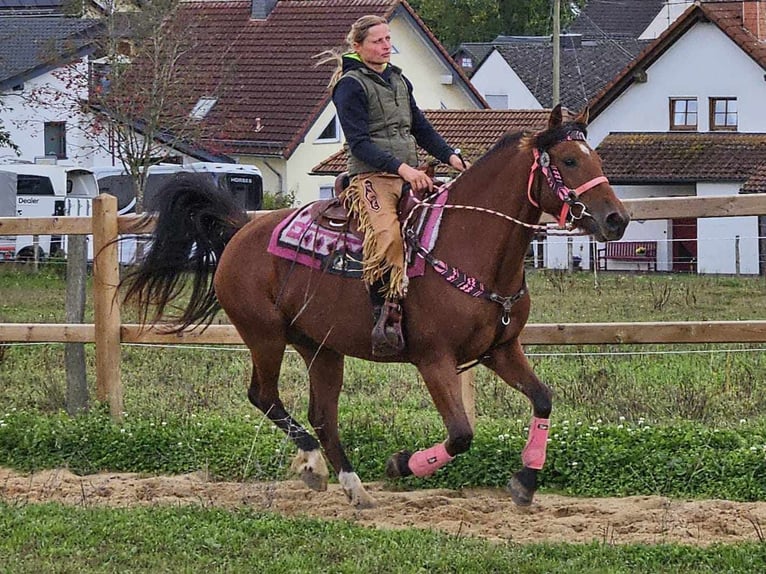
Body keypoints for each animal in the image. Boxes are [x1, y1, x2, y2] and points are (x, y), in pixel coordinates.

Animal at [124, 103, 632, 508]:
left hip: (320, 348)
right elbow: (461, 434)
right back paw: (314, 465)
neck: (468, 246)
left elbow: (543, 399)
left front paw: (526, 480)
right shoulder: (434, 360)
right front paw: (400, 464)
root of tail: (238, 230)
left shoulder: (501, 350)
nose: (617, 219)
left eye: (595, 156)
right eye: (568, 159)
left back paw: (354, 488)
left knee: (323, 417)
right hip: (265, 337)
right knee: (264, 397)